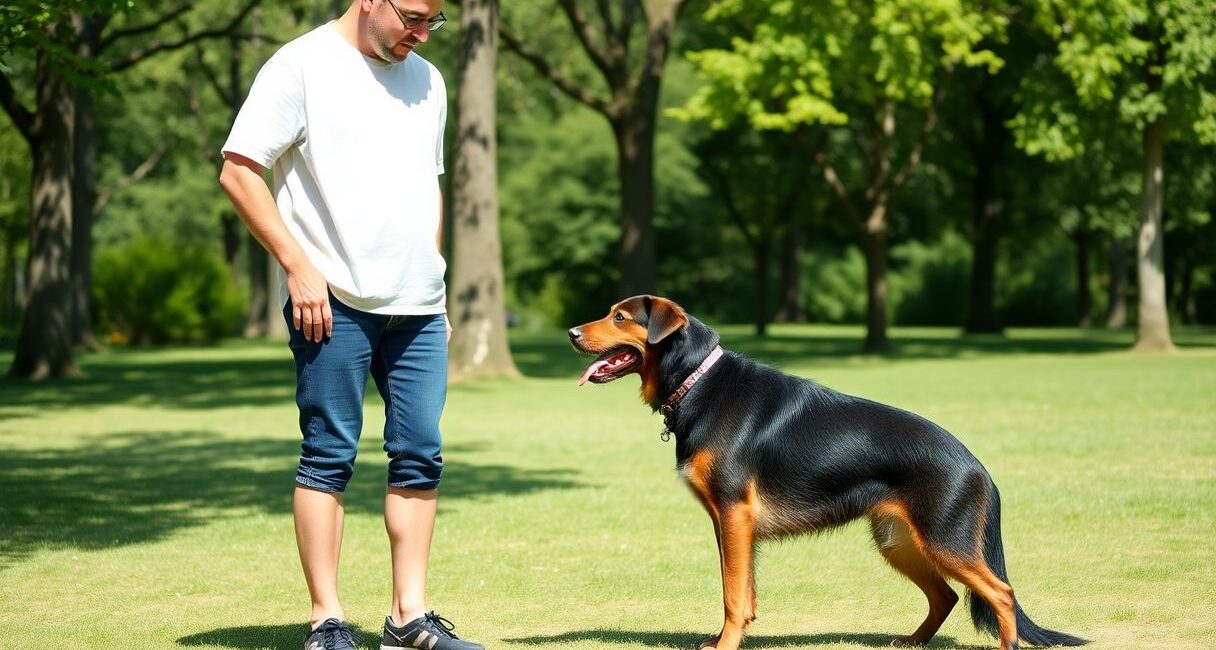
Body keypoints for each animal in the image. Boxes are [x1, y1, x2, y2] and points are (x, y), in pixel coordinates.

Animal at [569, 296, 1094, 650]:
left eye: (620, 317)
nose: (572, 332)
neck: (696, 380)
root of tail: (976, 464)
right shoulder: (732, 524)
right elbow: (743, 593)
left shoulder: (733, 515)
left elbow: (732, 595)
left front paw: (725, 645)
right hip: (900, 542)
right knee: (946, 596)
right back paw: (909, 642)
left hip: (944, 541)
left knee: (1001, 593)